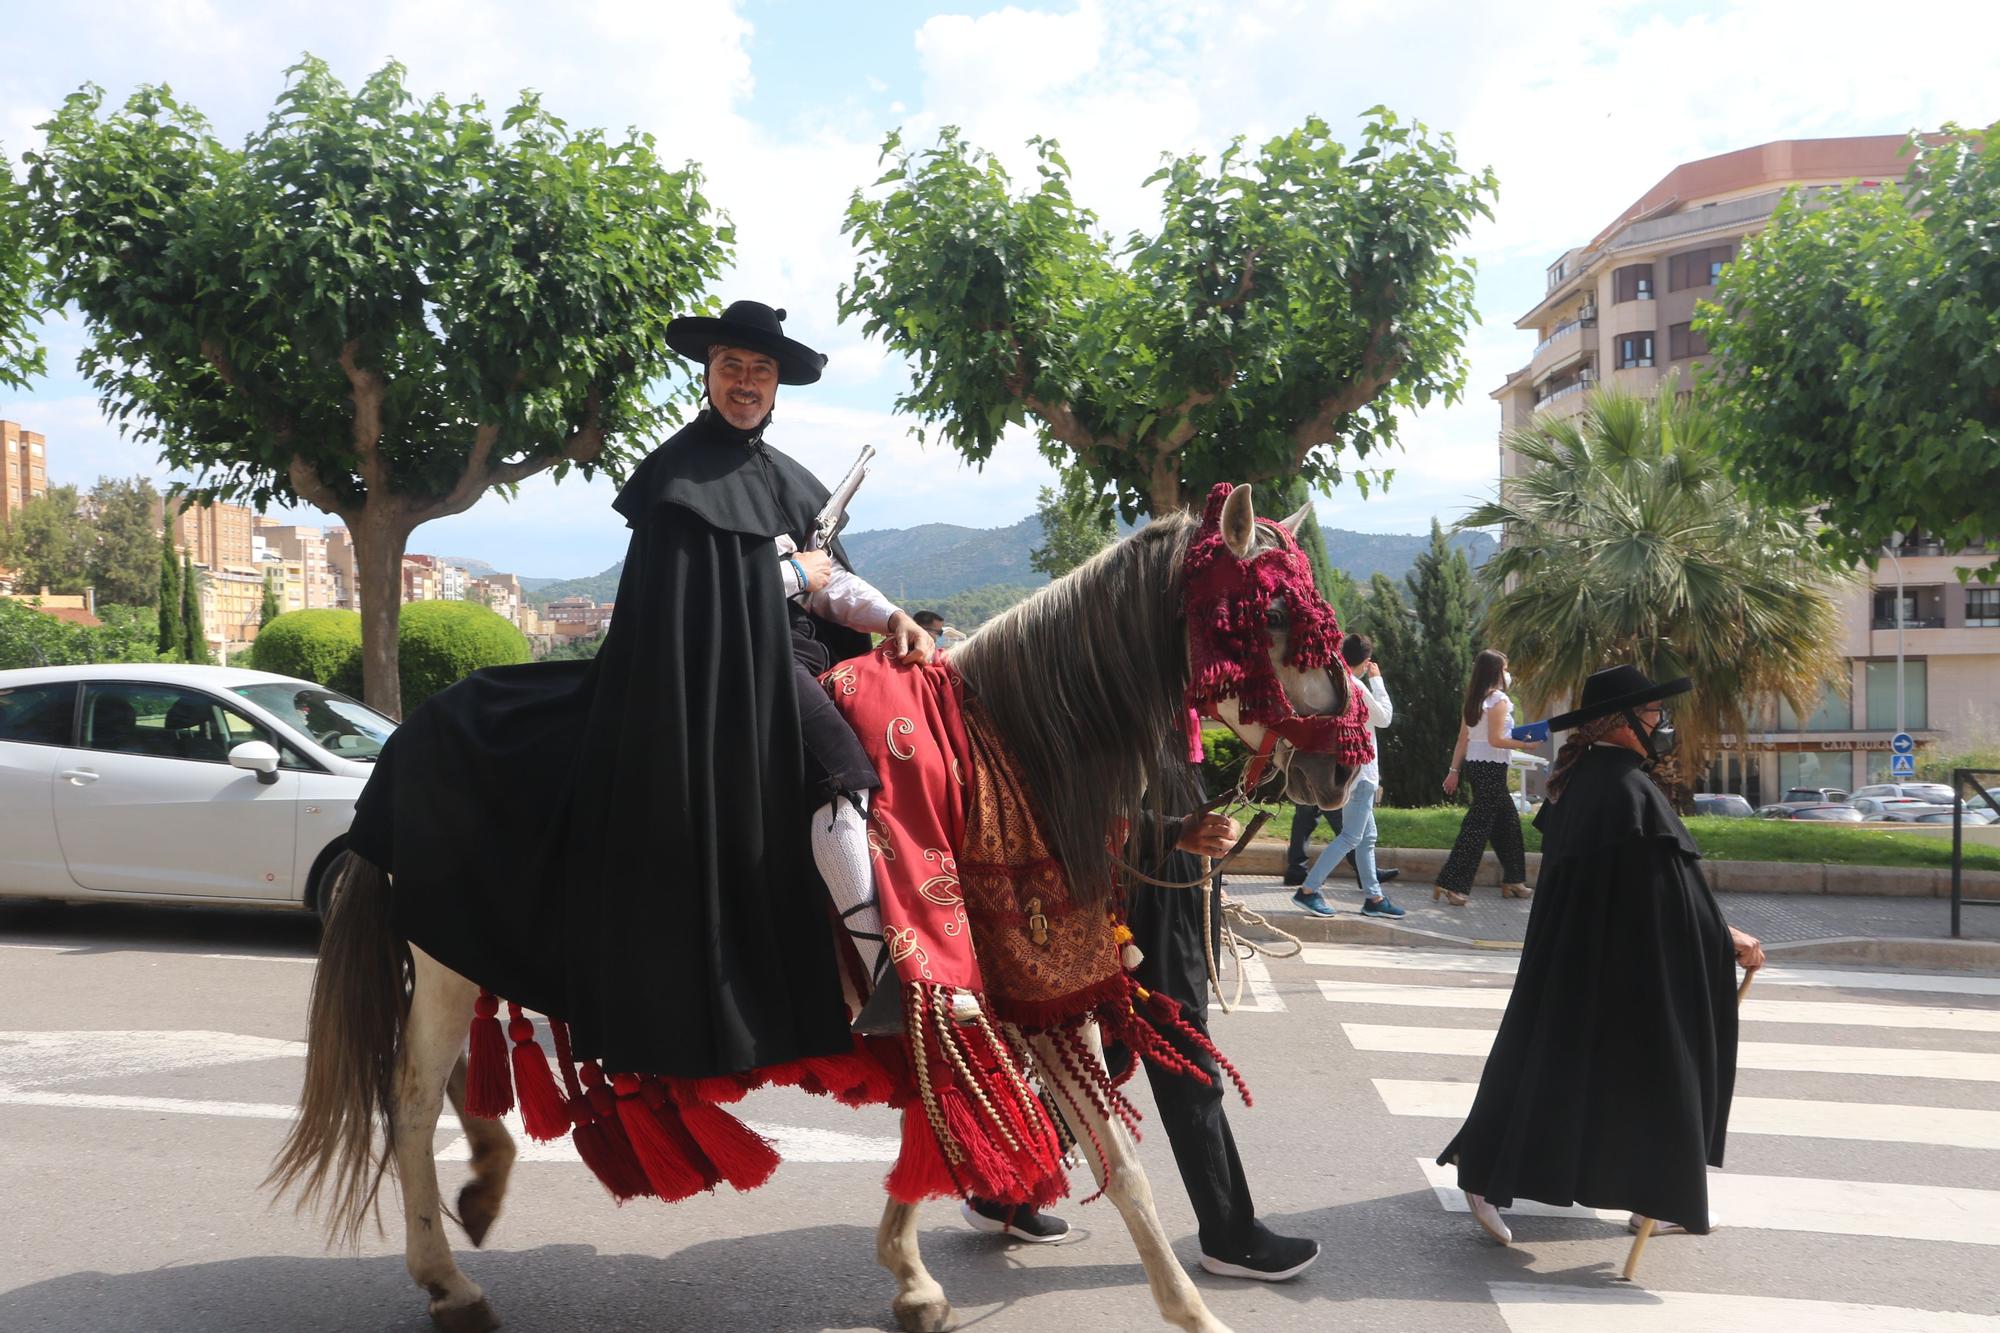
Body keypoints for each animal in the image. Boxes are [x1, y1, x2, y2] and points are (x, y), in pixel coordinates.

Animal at [270, 482, 1360, 1320]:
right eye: (1273, 616)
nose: (1343, 765)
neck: (1001, 752)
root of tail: (401, 746)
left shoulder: (989, 992)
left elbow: (947, 1123)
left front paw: (912, 1272)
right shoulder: (995, 981)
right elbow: (1118, 1164)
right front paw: (1191, 1309)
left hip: (472, 949)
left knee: (457, 1081)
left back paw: (485, 1182)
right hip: (445, 954)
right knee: (411, 1096)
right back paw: (446, 1276)